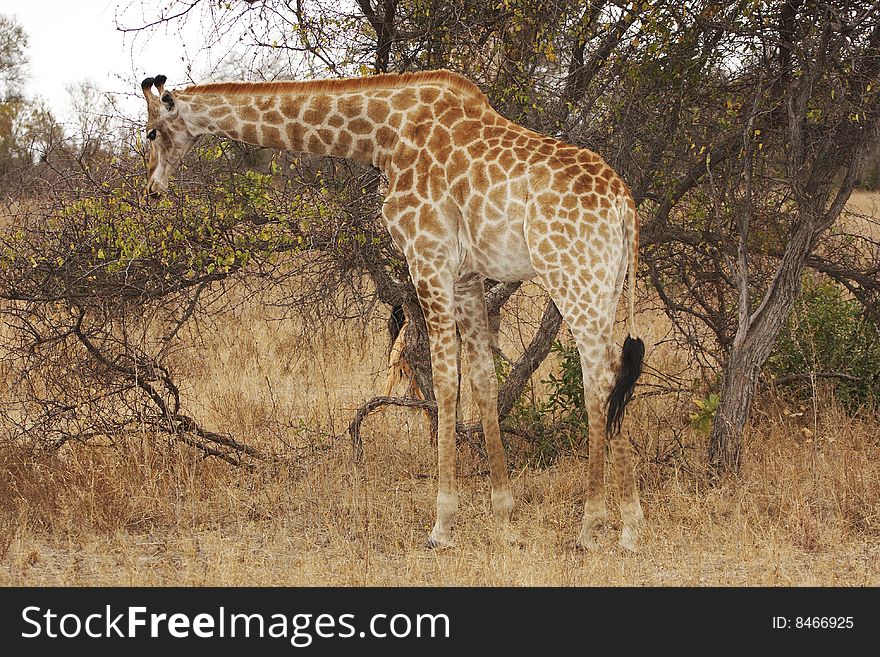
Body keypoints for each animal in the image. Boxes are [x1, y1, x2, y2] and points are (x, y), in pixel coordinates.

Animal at [143, 68, 648, 548]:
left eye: (150, 133)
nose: (152, 191)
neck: (383, 135)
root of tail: (625, 206)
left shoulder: (428, 256)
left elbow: (443, 384)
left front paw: (442, 525)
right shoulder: (466, 276)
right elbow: (483, 381)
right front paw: (505, 520)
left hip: (571, 277)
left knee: (601, 380)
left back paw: (598, 526)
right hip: (606, 285)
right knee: (612, 377)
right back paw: (625, 528)